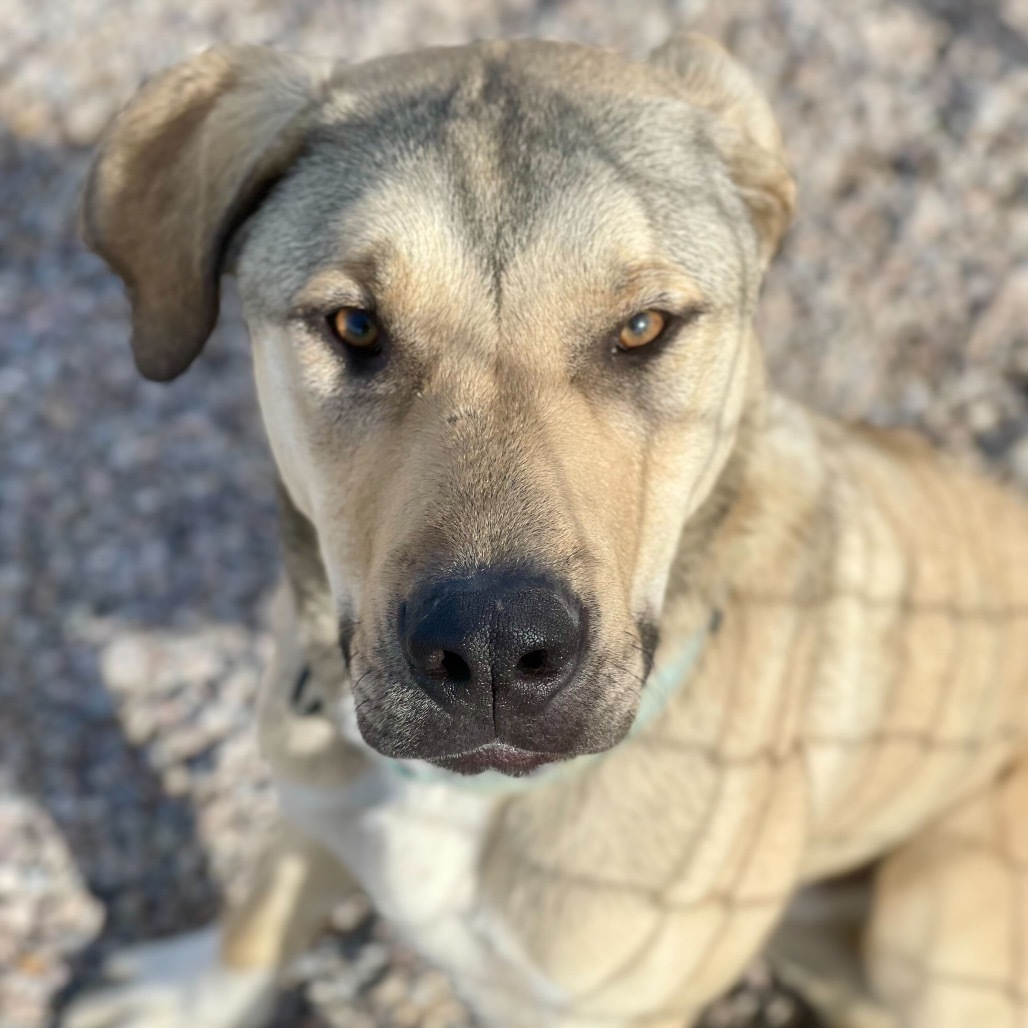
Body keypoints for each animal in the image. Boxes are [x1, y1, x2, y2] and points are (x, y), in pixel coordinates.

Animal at [64, 32, 1028, 1028]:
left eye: (643, 327)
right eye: (354, 324)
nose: (492, 647)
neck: (467, 797)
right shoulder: (310, 801)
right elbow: (261, 916)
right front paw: (189, 993)